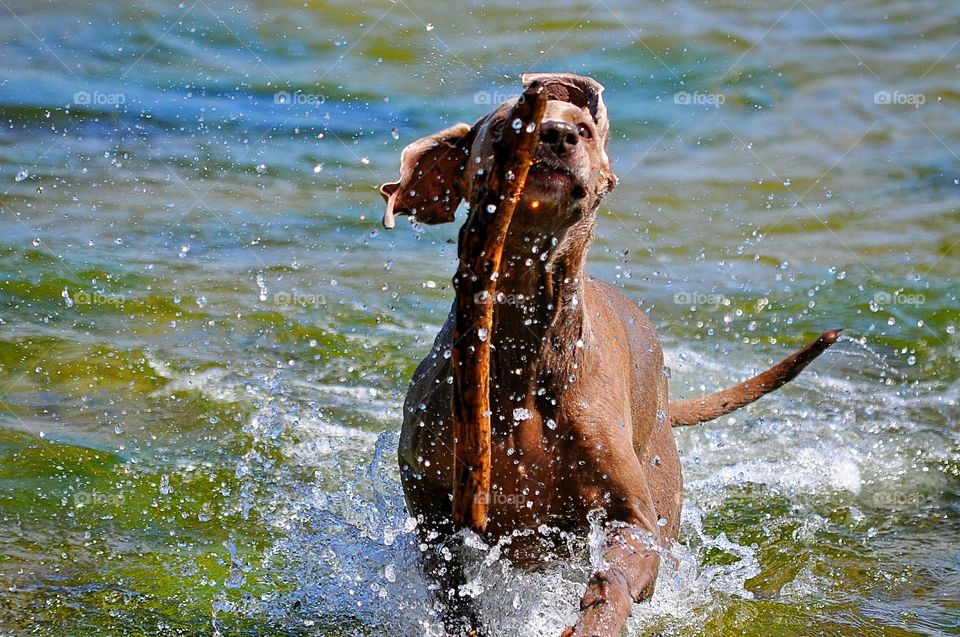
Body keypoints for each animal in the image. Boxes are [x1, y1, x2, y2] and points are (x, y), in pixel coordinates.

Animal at [378, 72, 836, 632]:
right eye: (508, 124)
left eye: (585, 129)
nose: (557, 135)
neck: (523, 355)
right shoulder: (430, 507)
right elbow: (452, 591)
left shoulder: (633, 518)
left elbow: (614, 578)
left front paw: (596, 621)